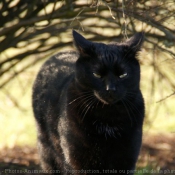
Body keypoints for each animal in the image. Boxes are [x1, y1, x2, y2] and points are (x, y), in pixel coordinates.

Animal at [32, 30, 145, 174]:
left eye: (123, 75)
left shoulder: (127, 158)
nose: (110, 89)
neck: (108, 116)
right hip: (47, 150)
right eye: (96, 74)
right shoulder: (77, 160)